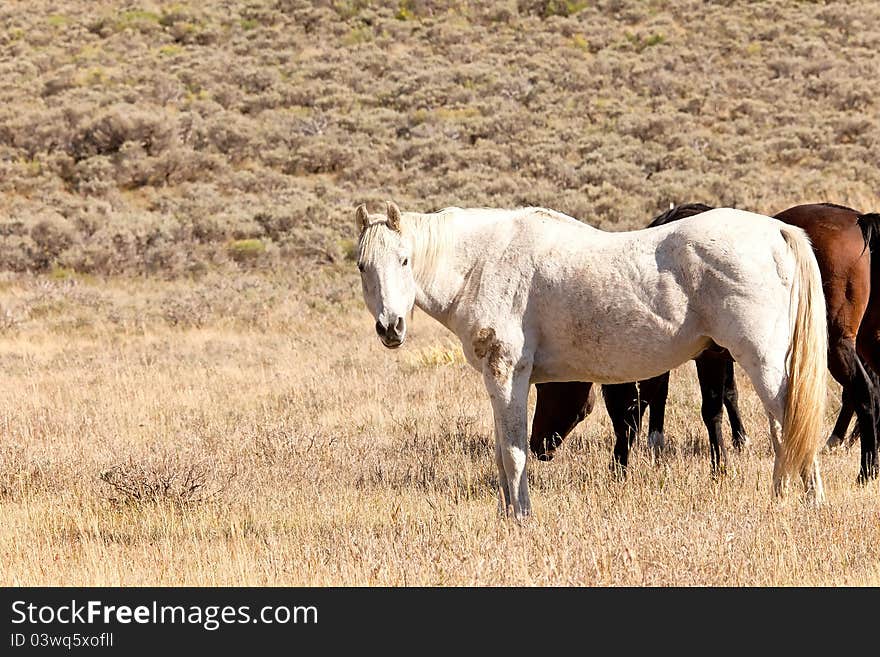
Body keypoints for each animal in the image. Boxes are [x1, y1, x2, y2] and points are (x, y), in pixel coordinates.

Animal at [354, 200, 828, 516]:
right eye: (362, 266)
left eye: (405, 259)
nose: (391, 327)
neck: (484, 262)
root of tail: (775, 232)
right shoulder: (497, 381)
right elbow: (503, 451)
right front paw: (507, 514)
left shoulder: (508, 375)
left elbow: (514, 452)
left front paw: (522, 517)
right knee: (781, 430)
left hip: (761, 361)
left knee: (791, 424)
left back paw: (810, 501)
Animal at [528, 204, 880, 482]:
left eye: (546, 386)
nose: (537, 446)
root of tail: (858, 219)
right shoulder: (712, 355)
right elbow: (714, 401)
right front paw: (721, 460)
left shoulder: (696, 355)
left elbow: (654, 403)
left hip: (834, 344)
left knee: (863, 391)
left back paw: (863, 467)